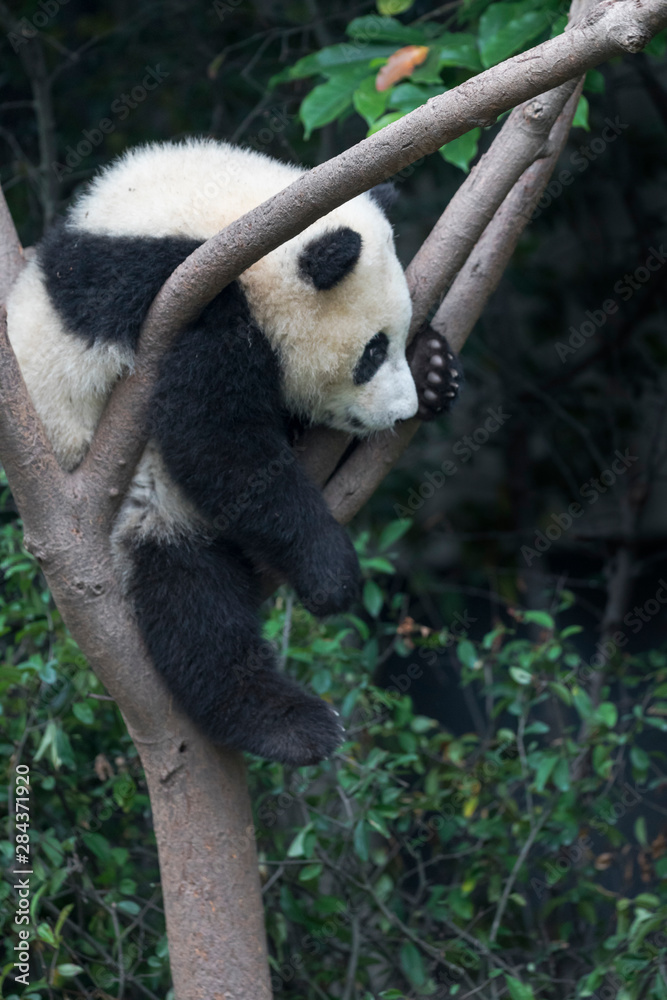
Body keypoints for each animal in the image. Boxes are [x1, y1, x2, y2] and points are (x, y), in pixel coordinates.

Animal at [7, 138, 461, 766]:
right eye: (372, 351)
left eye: (395, 339)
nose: (399, 412)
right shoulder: (181, 299)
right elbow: (216, 441)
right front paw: (331, 574)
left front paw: (433, 367)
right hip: (141, 501)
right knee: (193, 604)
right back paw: (289, 725)